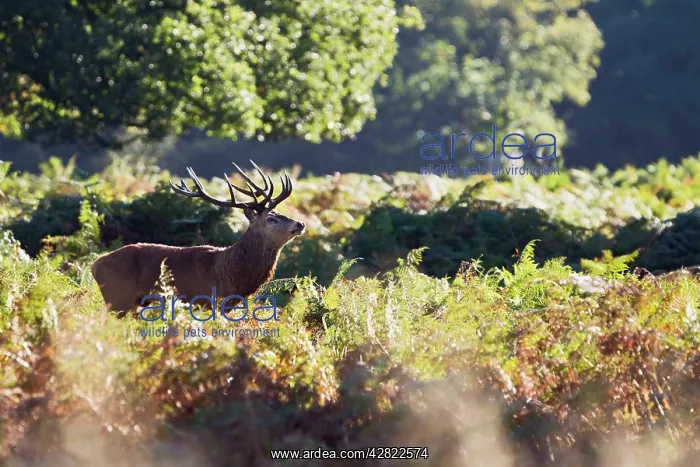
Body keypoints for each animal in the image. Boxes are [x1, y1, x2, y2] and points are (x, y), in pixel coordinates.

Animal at [91, 160, 305, 318]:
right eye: (271, 219)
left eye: (280, 213)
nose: (300, 223)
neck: (231, 274)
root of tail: (95, 265)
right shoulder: (206, 302)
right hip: (118, 298)